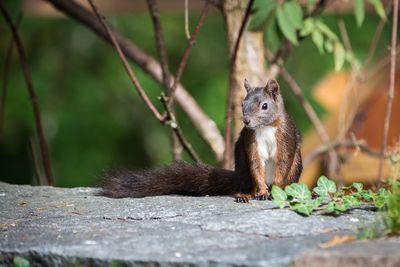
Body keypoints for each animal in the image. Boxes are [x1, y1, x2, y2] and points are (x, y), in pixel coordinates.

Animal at [99, 78, 300, 202]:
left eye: (265, 106)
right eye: (243, 104)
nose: (246, 121)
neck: (264, 128)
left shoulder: (285, 137)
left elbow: (283, 162)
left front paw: (275, 191)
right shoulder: (250, 141)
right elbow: (256, 165)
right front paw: (263, 191)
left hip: (295, 168)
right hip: (243, 168)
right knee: (247, 181)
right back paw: (246, 194)